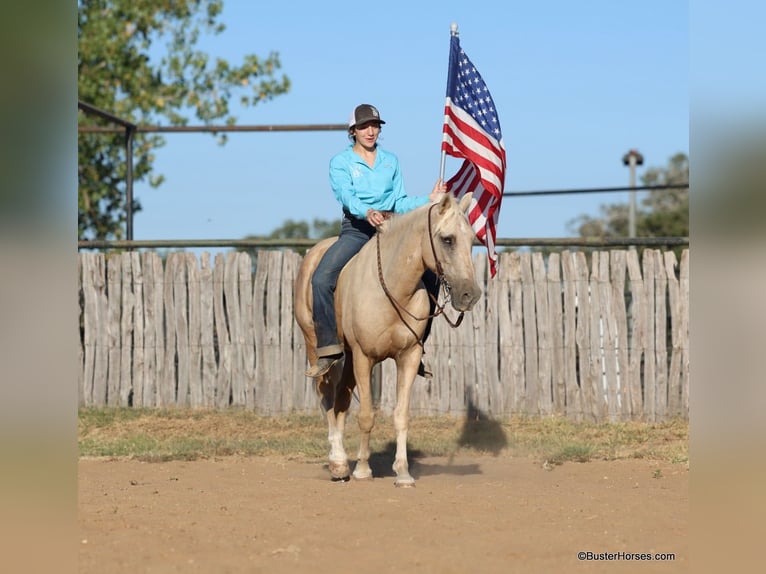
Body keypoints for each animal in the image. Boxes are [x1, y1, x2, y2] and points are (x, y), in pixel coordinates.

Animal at [293, 193, 482, 486]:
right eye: (447, 239)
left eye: (472, 239)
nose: (469, 295)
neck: (393, 287)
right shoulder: (364, 357)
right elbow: (367, 416)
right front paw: (362, 470)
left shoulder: (409, 356)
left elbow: (401, 416)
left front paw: (403, 473)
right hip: (319, 349)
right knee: (326, 396)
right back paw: (338, 462)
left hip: (349, 359)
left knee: (341, 399)